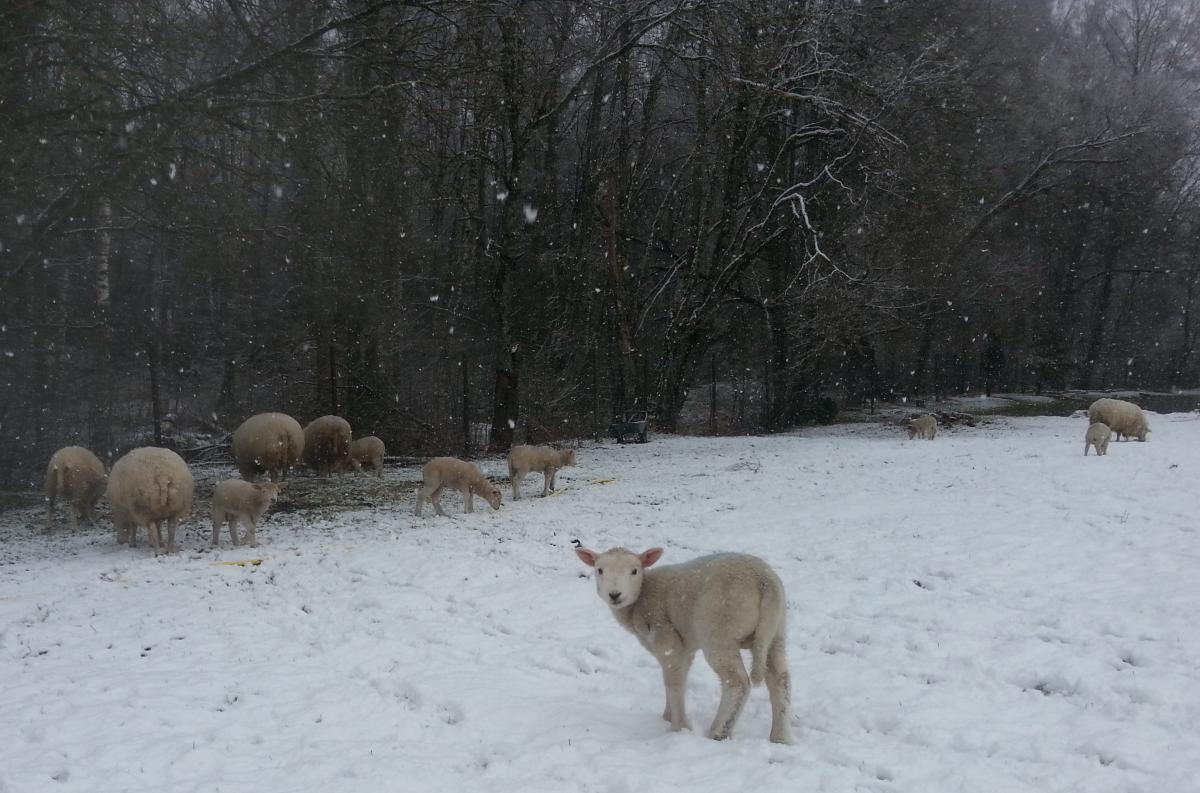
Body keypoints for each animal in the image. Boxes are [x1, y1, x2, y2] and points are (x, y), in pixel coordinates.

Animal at [573, 544, 792, 743]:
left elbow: (674, 680)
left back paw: (718, 732)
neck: (642, 596)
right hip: (776, 631)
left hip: (721, 631)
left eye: (634, 571)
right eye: (600, 570)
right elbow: (676, 677)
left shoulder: (666, 637)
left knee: (737, 682)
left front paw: (678, 727)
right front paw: (667, 716)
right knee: (780, 679)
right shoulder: (686, 647)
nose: (615, 594)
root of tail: (763, 581)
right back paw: (779, 736)